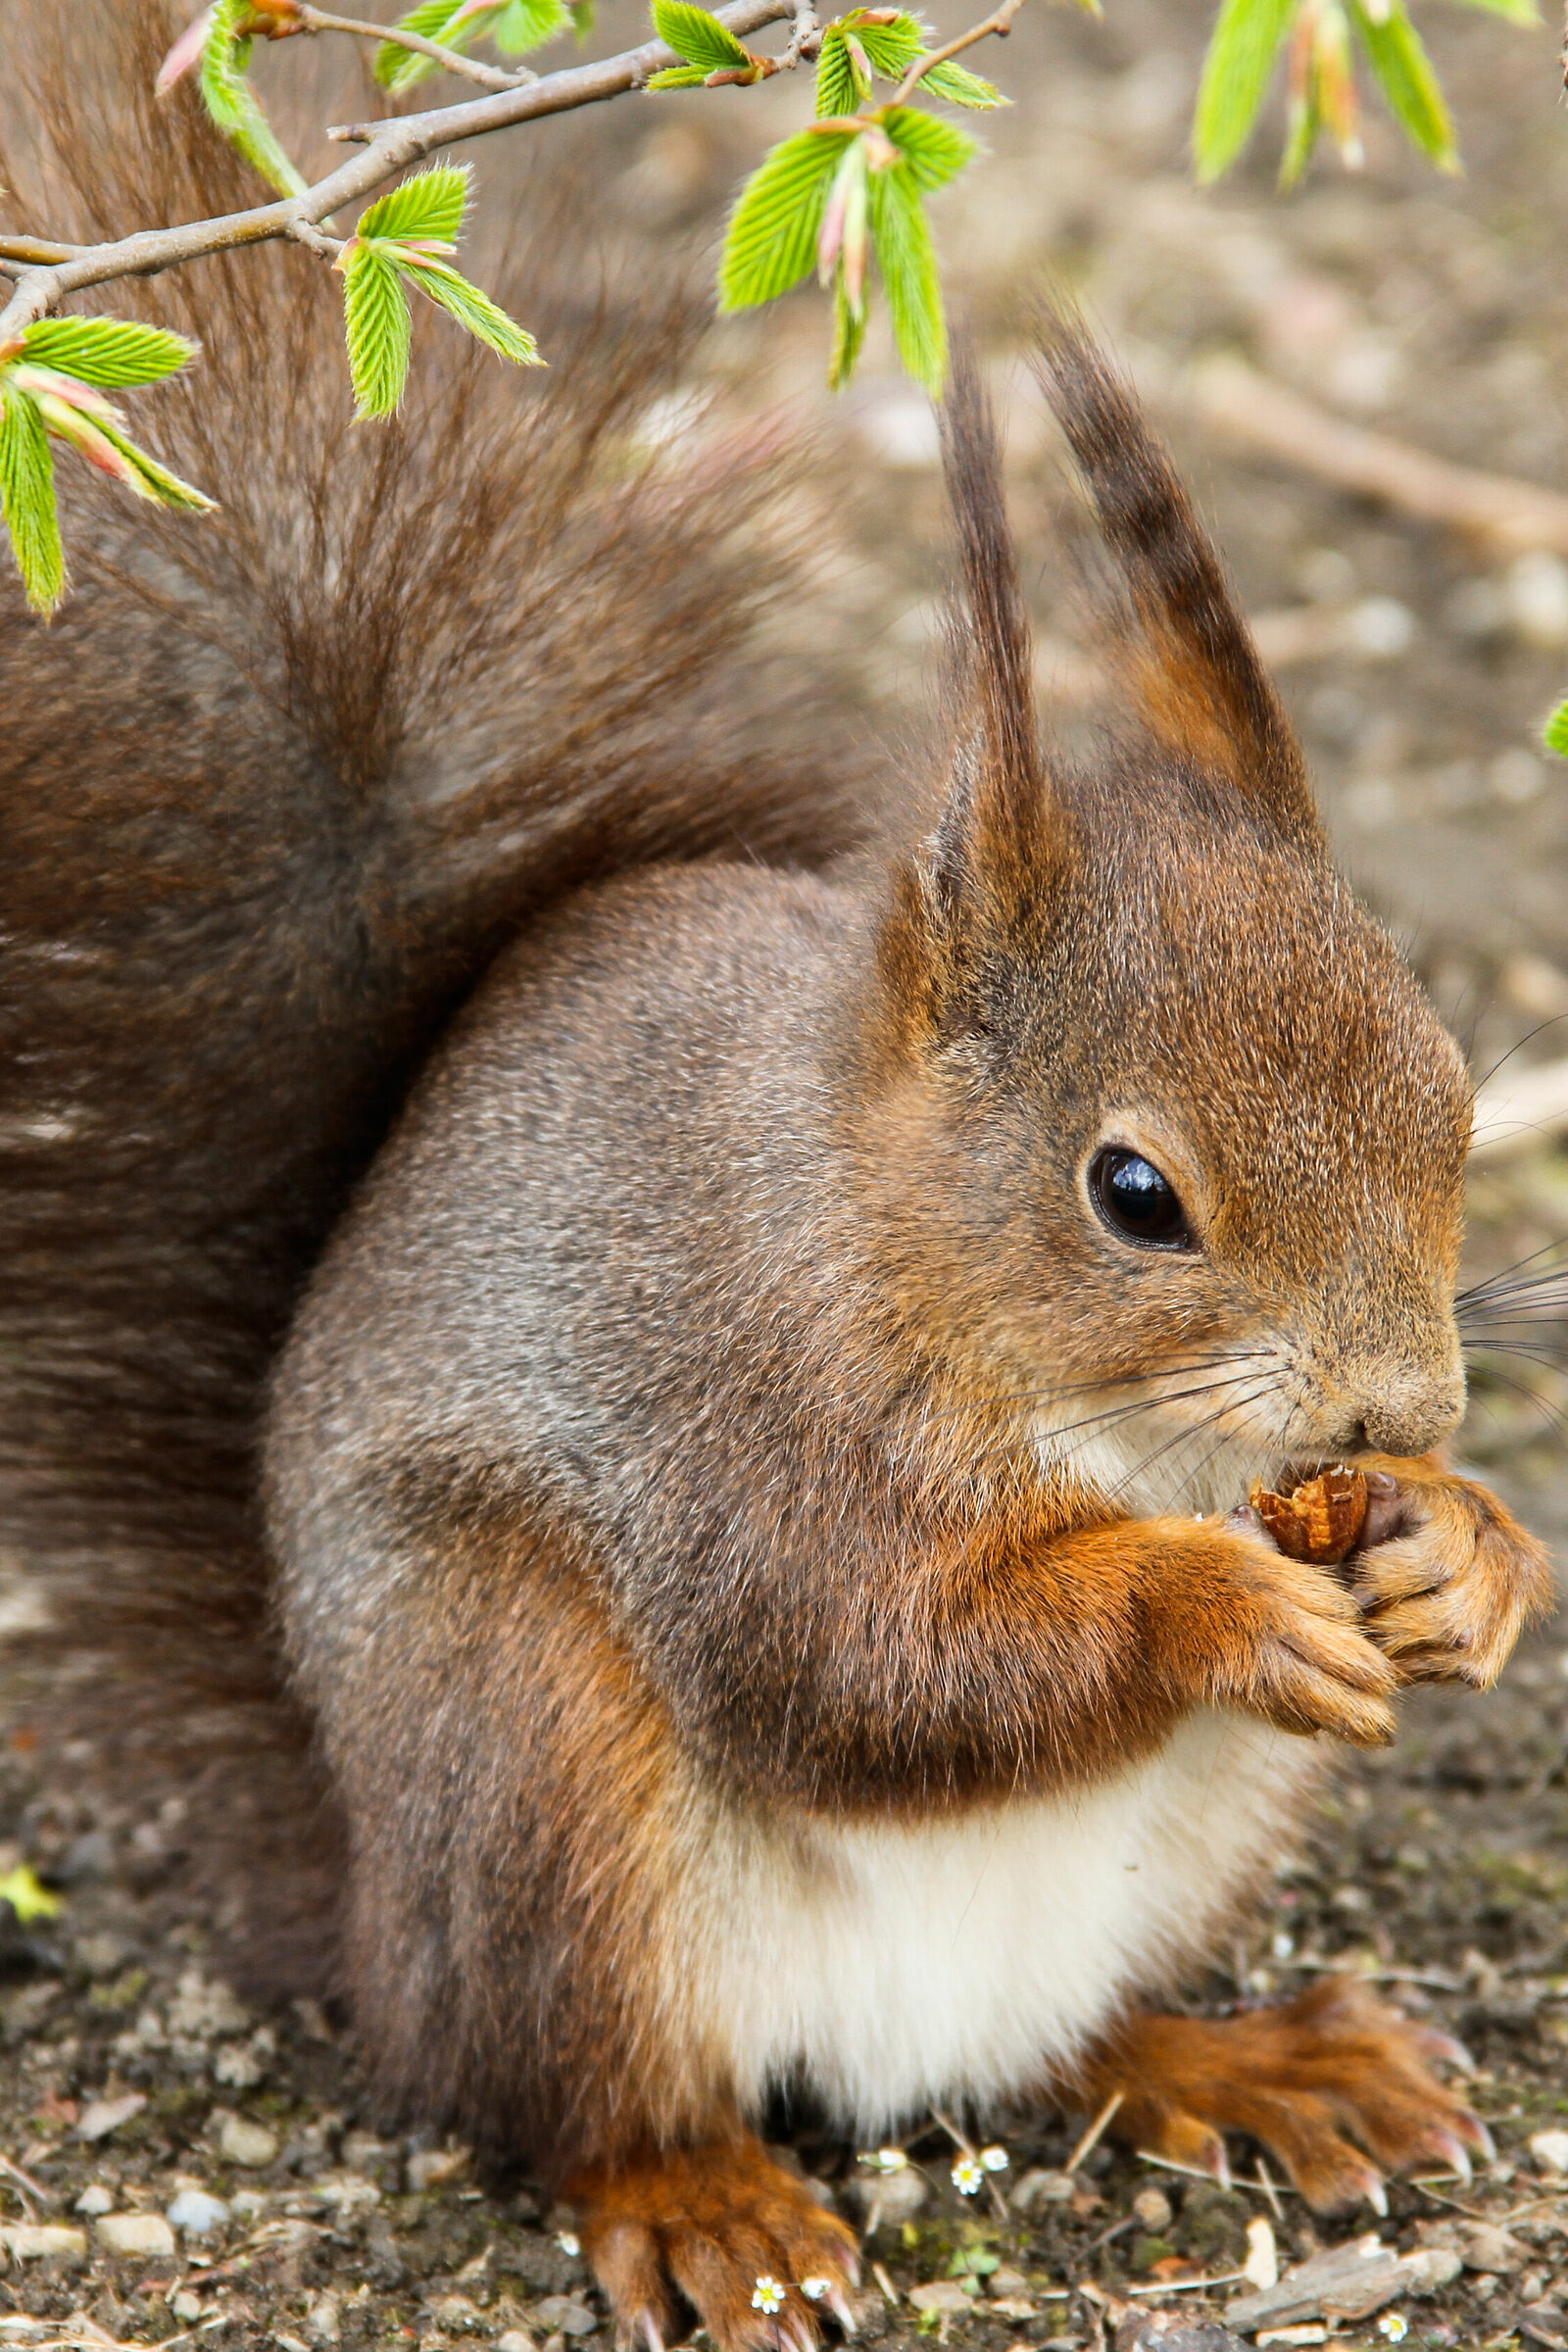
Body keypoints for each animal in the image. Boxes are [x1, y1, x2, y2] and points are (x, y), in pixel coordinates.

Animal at [2, 10, 1555, 2348]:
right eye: (1132, 1195)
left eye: (1454, 1087)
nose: (1402, 1414)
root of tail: (376, 1919)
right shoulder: (732, 1413)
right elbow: (851, 1662)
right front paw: (1208, 1602)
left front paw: (1464, 1548)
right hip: (531, 1749)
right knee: (573, 2096)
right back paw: (707, 2207)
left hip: (1175, 1858)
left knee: (1063, 2048)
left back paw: (1250, 2060)